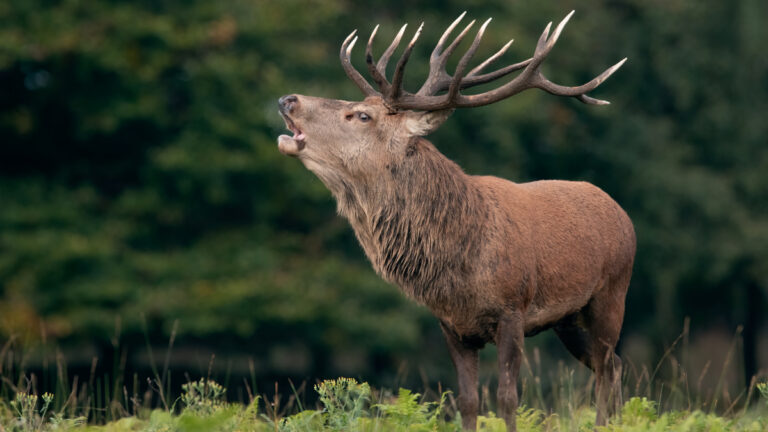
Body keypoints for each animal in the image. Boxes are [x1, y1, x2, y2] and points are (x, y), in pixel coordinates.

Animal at [276, 11, 635, 431]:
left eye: (362, 115)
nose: (288, 99)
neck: (457, 263)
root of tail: (620, 211)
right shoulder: (452, 326)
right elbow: (467, 401)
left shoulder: (513, 311)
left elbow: (508, 398)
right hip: (568, 319)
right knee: (612, 364)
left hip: (611, 293)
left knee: (607, 367)